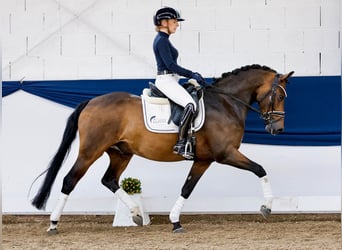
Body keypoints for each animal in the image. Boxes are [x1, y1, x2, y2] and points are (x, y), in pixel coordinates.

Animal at [31, 64, 294, 232]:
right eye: (280, 96)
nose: (278, 129)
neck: (225, 103)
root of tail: (91, 101)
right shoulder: (226, 153)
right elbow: (260, 169)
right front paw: (267, 207)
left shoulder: (203, 160)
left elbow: (187, 188)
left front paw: (175, 221)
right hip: (90, 151)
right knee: (70, 180)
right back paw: (53, 223)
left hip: (121, 153)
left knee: (109, 180)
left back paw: (136, 214)